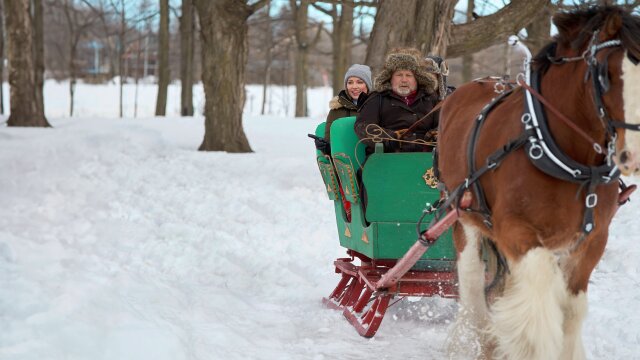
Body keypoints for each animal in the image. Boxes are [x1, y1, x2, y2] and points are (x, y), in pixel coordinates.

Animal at [438, 6, 640, 360]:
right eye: (606, 74)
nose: (635, 154)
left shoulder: (593, 240)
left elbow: (570, 308)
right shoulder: (515, 230)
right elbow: (539, 292)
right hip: (463, 214)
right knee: (473, 279)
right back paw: (483, 341)